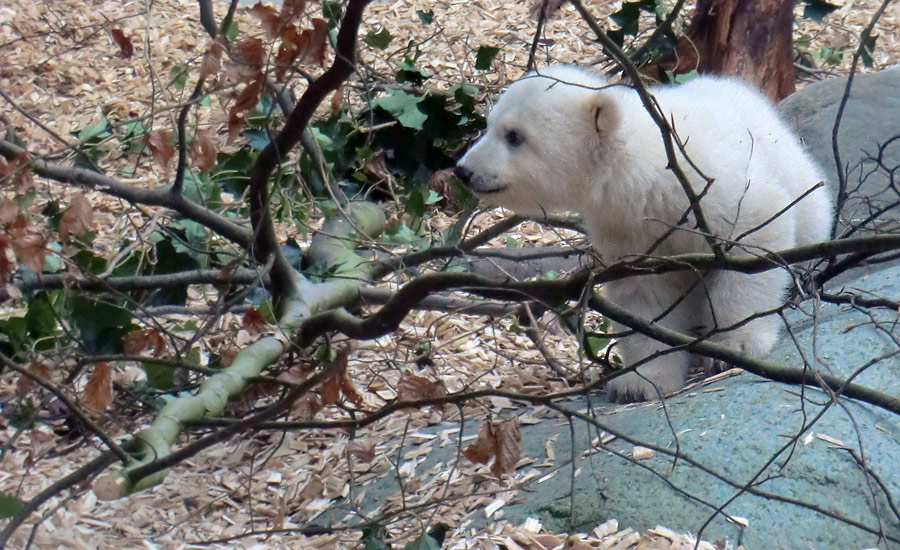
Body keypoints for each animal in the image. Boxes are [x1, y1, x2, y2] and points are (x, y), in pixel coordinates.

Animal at [454, 67, 832, 406]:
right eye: (490, 125)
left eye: (514, 135)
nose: (463, 170)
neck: (646, 172)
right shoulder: (629, 229)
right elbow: (645, 296)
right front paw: (639, 383)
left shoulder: (711, 189)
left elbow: (754, 241)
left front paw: (734, 345)